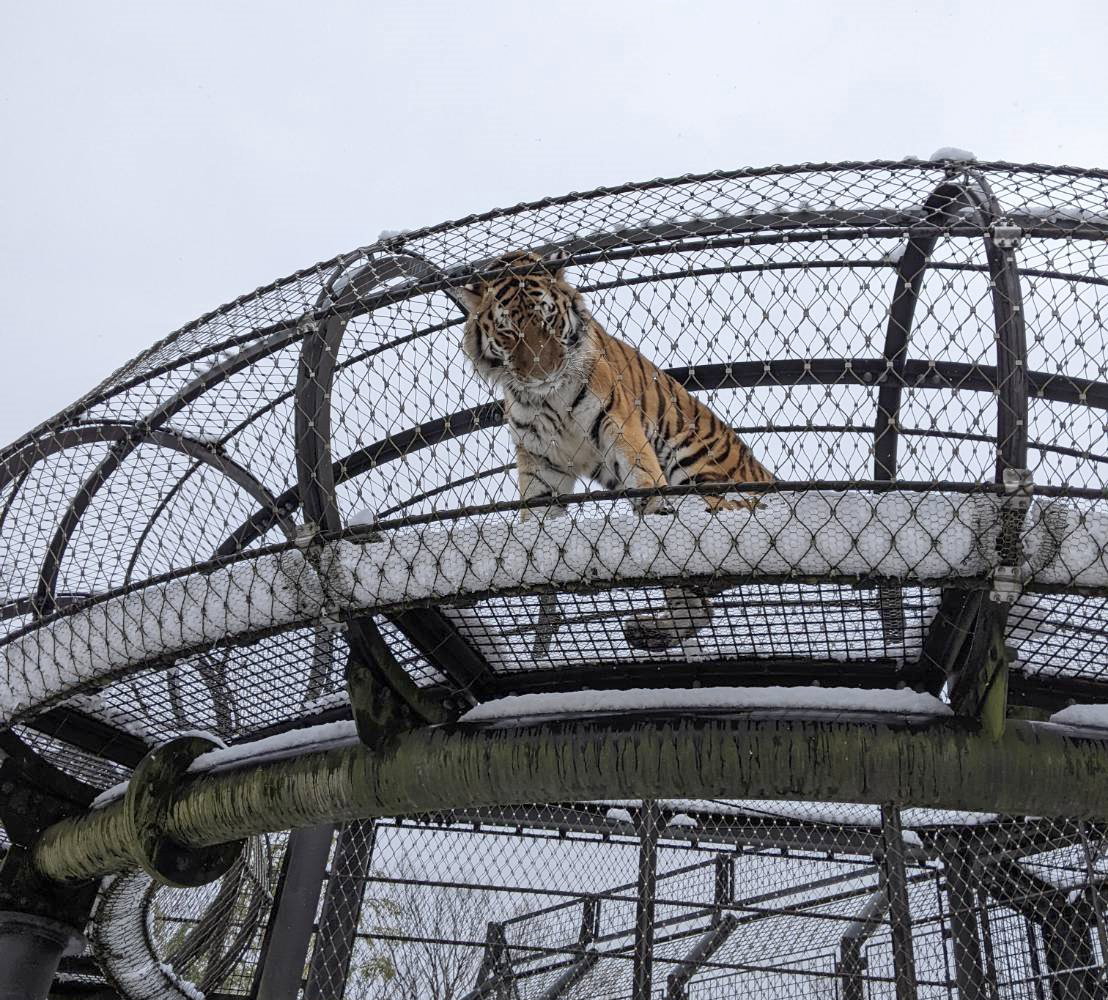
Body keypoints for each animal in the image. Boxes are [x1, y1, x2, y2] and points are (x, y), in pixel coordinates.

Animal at [454, 250, 775, 651]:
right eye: (508, 331)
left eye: (548, 320)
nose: (543, 374)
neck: (547, 396)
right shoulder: (540, 461)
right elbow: (537, 521)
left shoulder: (617, 422)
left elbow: (643, 477)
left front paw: (655, 515)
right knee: (697, 604)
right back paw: (648, 632)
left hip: (695, 461)